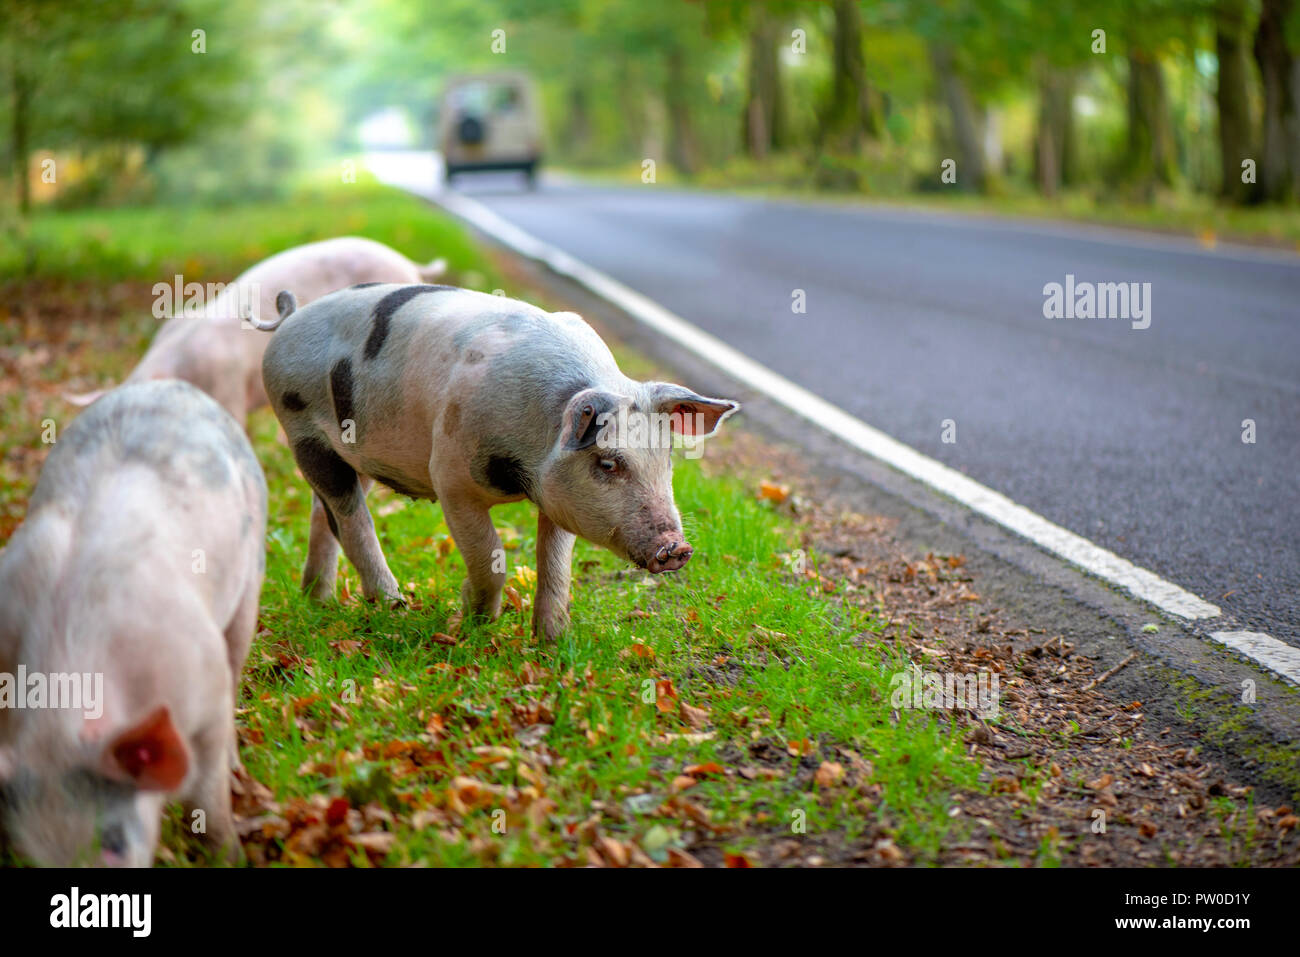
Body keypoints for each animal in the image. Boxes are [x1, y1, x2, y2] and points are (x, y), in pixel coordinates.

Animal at [0, 379, 267, 866]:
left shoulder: (205, 685)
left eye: (115, 842)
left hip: (252, 569)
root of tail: (170, 385)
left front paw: (229, 853)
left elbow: (206, 793)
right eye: (34, 855)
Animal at [256, 284, 738, 639]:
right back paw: (394, 609)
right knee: (350, 517)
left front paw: (552, 642)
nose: (677, 548)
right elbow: (491, 556)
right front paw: (471, 625)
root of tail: (289, 318)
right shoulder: (450, 478)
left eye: (667, 460)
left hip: (354, 454)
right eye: (607, 463)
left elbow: (556, 567)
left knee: (325, 514)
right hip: (301, 429)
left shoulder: (559, 498)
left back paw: (319, 600)